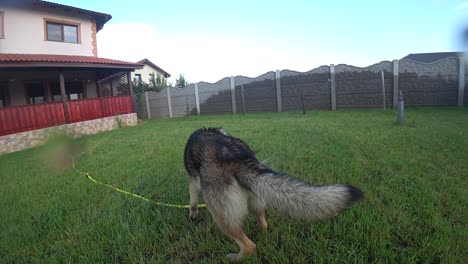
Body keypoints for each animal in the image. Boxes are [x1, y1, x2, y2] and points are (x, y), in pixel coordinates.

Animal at [185, 128, 364, 262]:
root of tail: (239, 159)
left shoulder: (193, 183)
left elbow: (193, 200)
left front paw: (193, 214)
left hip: (221, 217)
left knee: (249, 246)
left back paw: (234, 258)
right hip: (254, 198)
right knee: (263, 222)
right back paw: (261, 231)